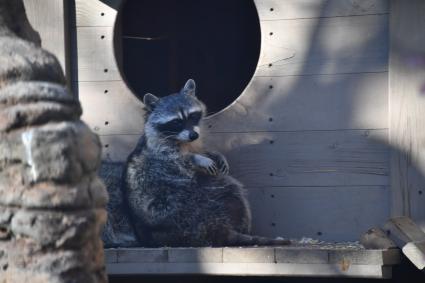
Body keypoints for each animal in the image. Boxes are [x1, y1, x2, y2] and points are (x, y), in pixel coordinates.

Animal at [121, 79, 290, 247]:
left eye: (192, 116)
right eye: (176, 122)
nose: (193, 135)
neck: (183, 140)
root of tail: (215, 226)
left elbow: (202, 149)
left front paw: (213, 154)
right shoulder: (159, 149)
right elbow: (178, 160)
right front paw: (198, 158)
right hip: (192, 203)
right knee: (230, 186)